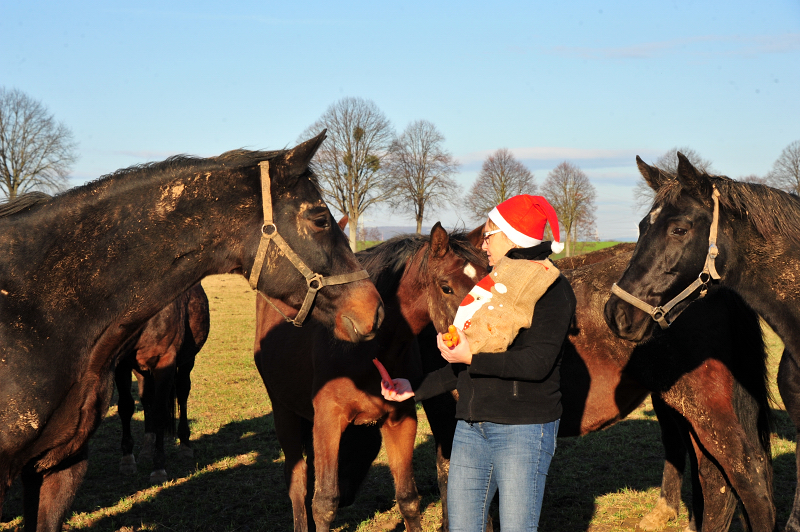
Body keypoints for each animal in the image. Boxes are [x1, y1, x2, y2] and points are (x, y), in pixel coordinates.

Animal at [115, 282, 211, 482]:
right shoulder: (120, 363)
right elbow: (126, 407)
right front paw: (127, 459)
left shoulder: (165, 361)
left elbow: (160, 412)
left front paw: (158, 468)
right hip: (142, 371)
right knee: (147, 400)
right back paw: (146, 449)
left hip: (186, 363)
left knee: (182, 394)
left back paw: (185, 445)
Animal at [253, 223, 488, 532]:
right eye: (446, 287)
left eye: (490, 277)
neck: (366, 349)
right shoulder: (328, 421)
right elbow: (324, 504)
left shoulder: (400, 420)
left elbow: (408, 499)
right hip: (284, 413)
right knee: (298, 482)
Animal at [418, 242, 776, 532]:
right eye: (446, 287)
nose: (478, 340)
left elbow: (450, 480)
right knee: (714, 476)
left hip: (704, 407)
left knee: (746, 474)